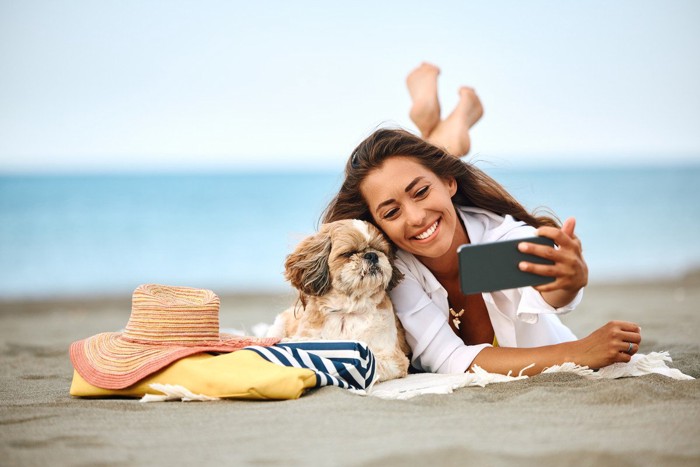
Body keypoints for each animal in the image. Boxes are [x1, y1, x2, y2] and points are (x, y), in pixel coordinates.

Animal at [268, 219, 410, 384]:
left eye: (381, 250)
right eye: (348, 253)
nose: (372, 255)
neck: (347, 311)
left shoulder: (394, 359)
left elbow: (372, 363)